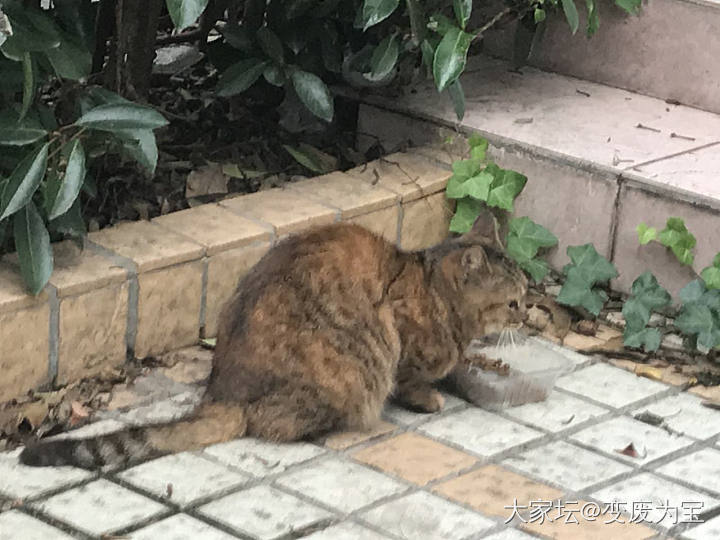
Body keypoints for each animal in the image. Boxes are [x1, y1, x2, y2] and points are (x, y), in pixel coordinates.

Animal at [19, 211, 524, 468]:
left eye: (525, 293)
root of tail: (221, 393)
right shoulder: (400, 336)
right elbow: (412, 378)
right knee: (278, 424)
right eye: (515, 302)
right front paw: (429, 397)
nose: (530, 310)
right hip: (344, 376)